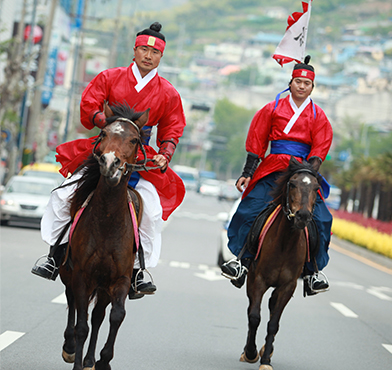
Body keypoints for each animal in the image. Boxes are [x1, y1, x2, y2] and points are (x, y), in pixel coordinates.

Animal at [59, 102, 149, 370]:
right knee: (72, 303)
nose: (110, 162)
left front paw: (102, 360)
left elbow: (116, 316)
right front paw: (77, 360)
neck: (108, 222)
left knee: (99, 315)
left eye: (133, 140)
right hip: (71, 275)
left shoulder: (120, 279)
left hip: (104, 286)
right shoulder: (81, 275)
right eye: (104, 134)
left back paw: (90, 359)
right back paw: (70, 348)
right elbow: (81, 325)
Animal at [240, 156, 320, 370]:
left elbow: (273, 323)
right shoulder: (257, 280)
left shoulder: (287, 286)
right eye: (292, 184)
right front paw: (251, 352)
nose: (302, 216)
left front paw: (266, 359)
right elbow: (254, 317)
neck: (285, 242)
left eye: (316, 187)